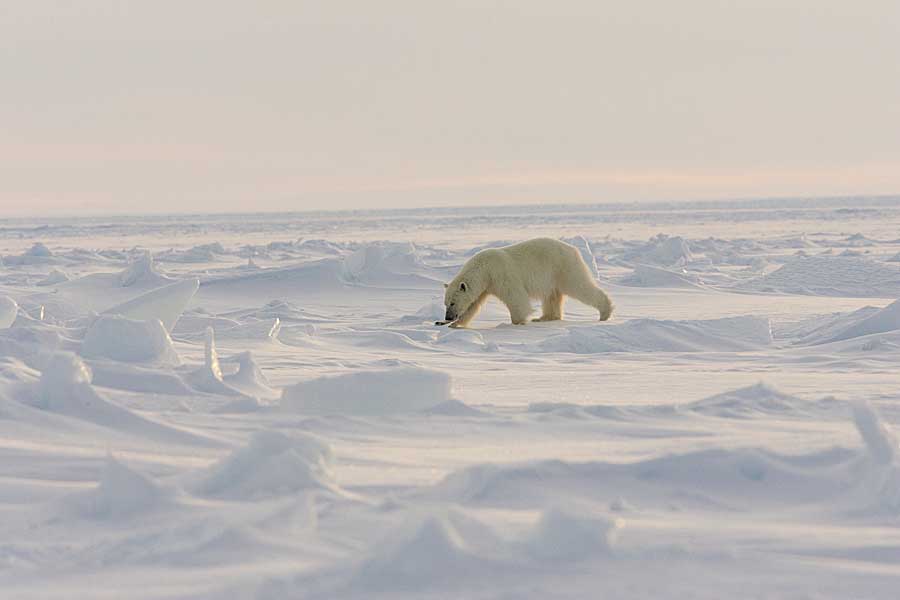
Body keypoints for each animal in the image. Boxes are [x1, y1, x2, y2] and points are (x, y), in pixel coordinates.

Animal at [442, 238, 612, 328]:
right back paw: (545, 317)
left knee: (580, 287)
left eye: (452, 303)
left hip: (564, 267)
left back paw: (605, 312)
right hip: (553, 277)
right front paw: (454, 325)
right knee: (552, 296)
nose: (448, 317)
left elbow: (516, 298)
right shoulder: (485, 286)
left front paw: (518, 322)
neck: (484, 268)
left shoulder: (501, 275)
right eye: (446, 303)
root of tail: (574, 249)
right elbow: (473, 305)